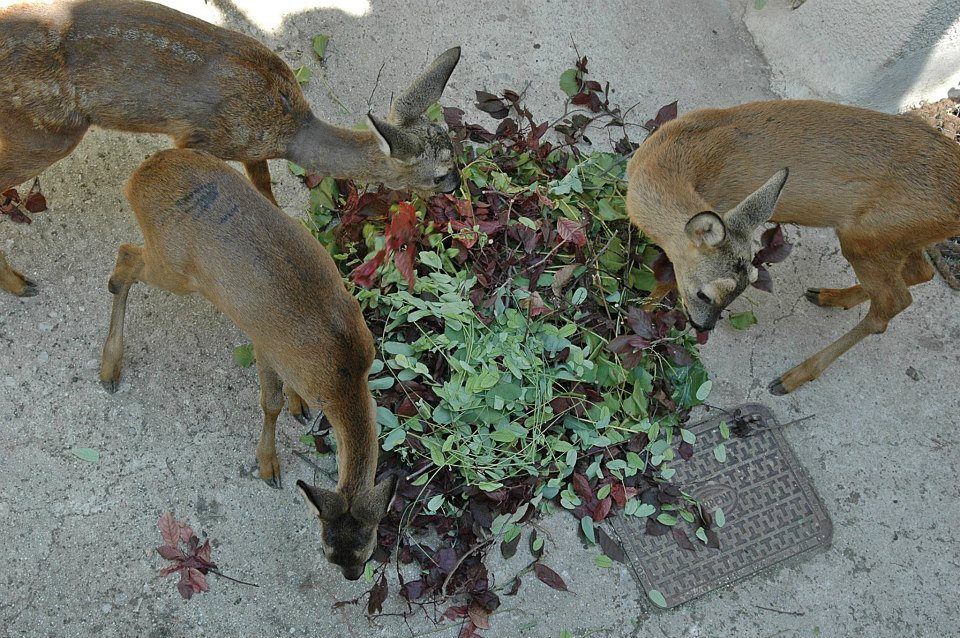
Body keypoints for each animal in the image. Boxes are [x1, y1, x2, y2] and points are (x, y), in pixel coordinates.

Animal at [0, 0, 464, 296]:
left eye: (454, 150)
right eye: (439, 173)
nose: (458, 184)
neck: (289, 130)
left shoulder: (253, 151)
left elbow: (266, 191)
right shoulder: (199, 138)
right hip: (48, 132)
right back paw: (22, 284)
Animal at [98, 150, 394, 580]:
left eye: (367, 546)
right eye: (328, 549)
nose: (352, 576)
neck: (341, 372)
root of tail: (137, 176)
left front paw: (298, 407)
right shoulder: (265, 346)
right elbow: (269, 404)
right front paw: (268, 465)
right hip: (175, 268)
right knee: (122, 263)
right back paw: (109, 369)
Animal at [628, 100, 960, 396]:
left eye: (744, 286)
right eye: (705, 295)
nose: (704, 327)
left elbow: (666, 280)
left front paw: (636, 322)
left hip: (867, 238)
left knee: (892, 303)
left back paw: (791, 377)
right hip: (891, 239)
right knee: (921, 272)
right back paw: (828, 296)